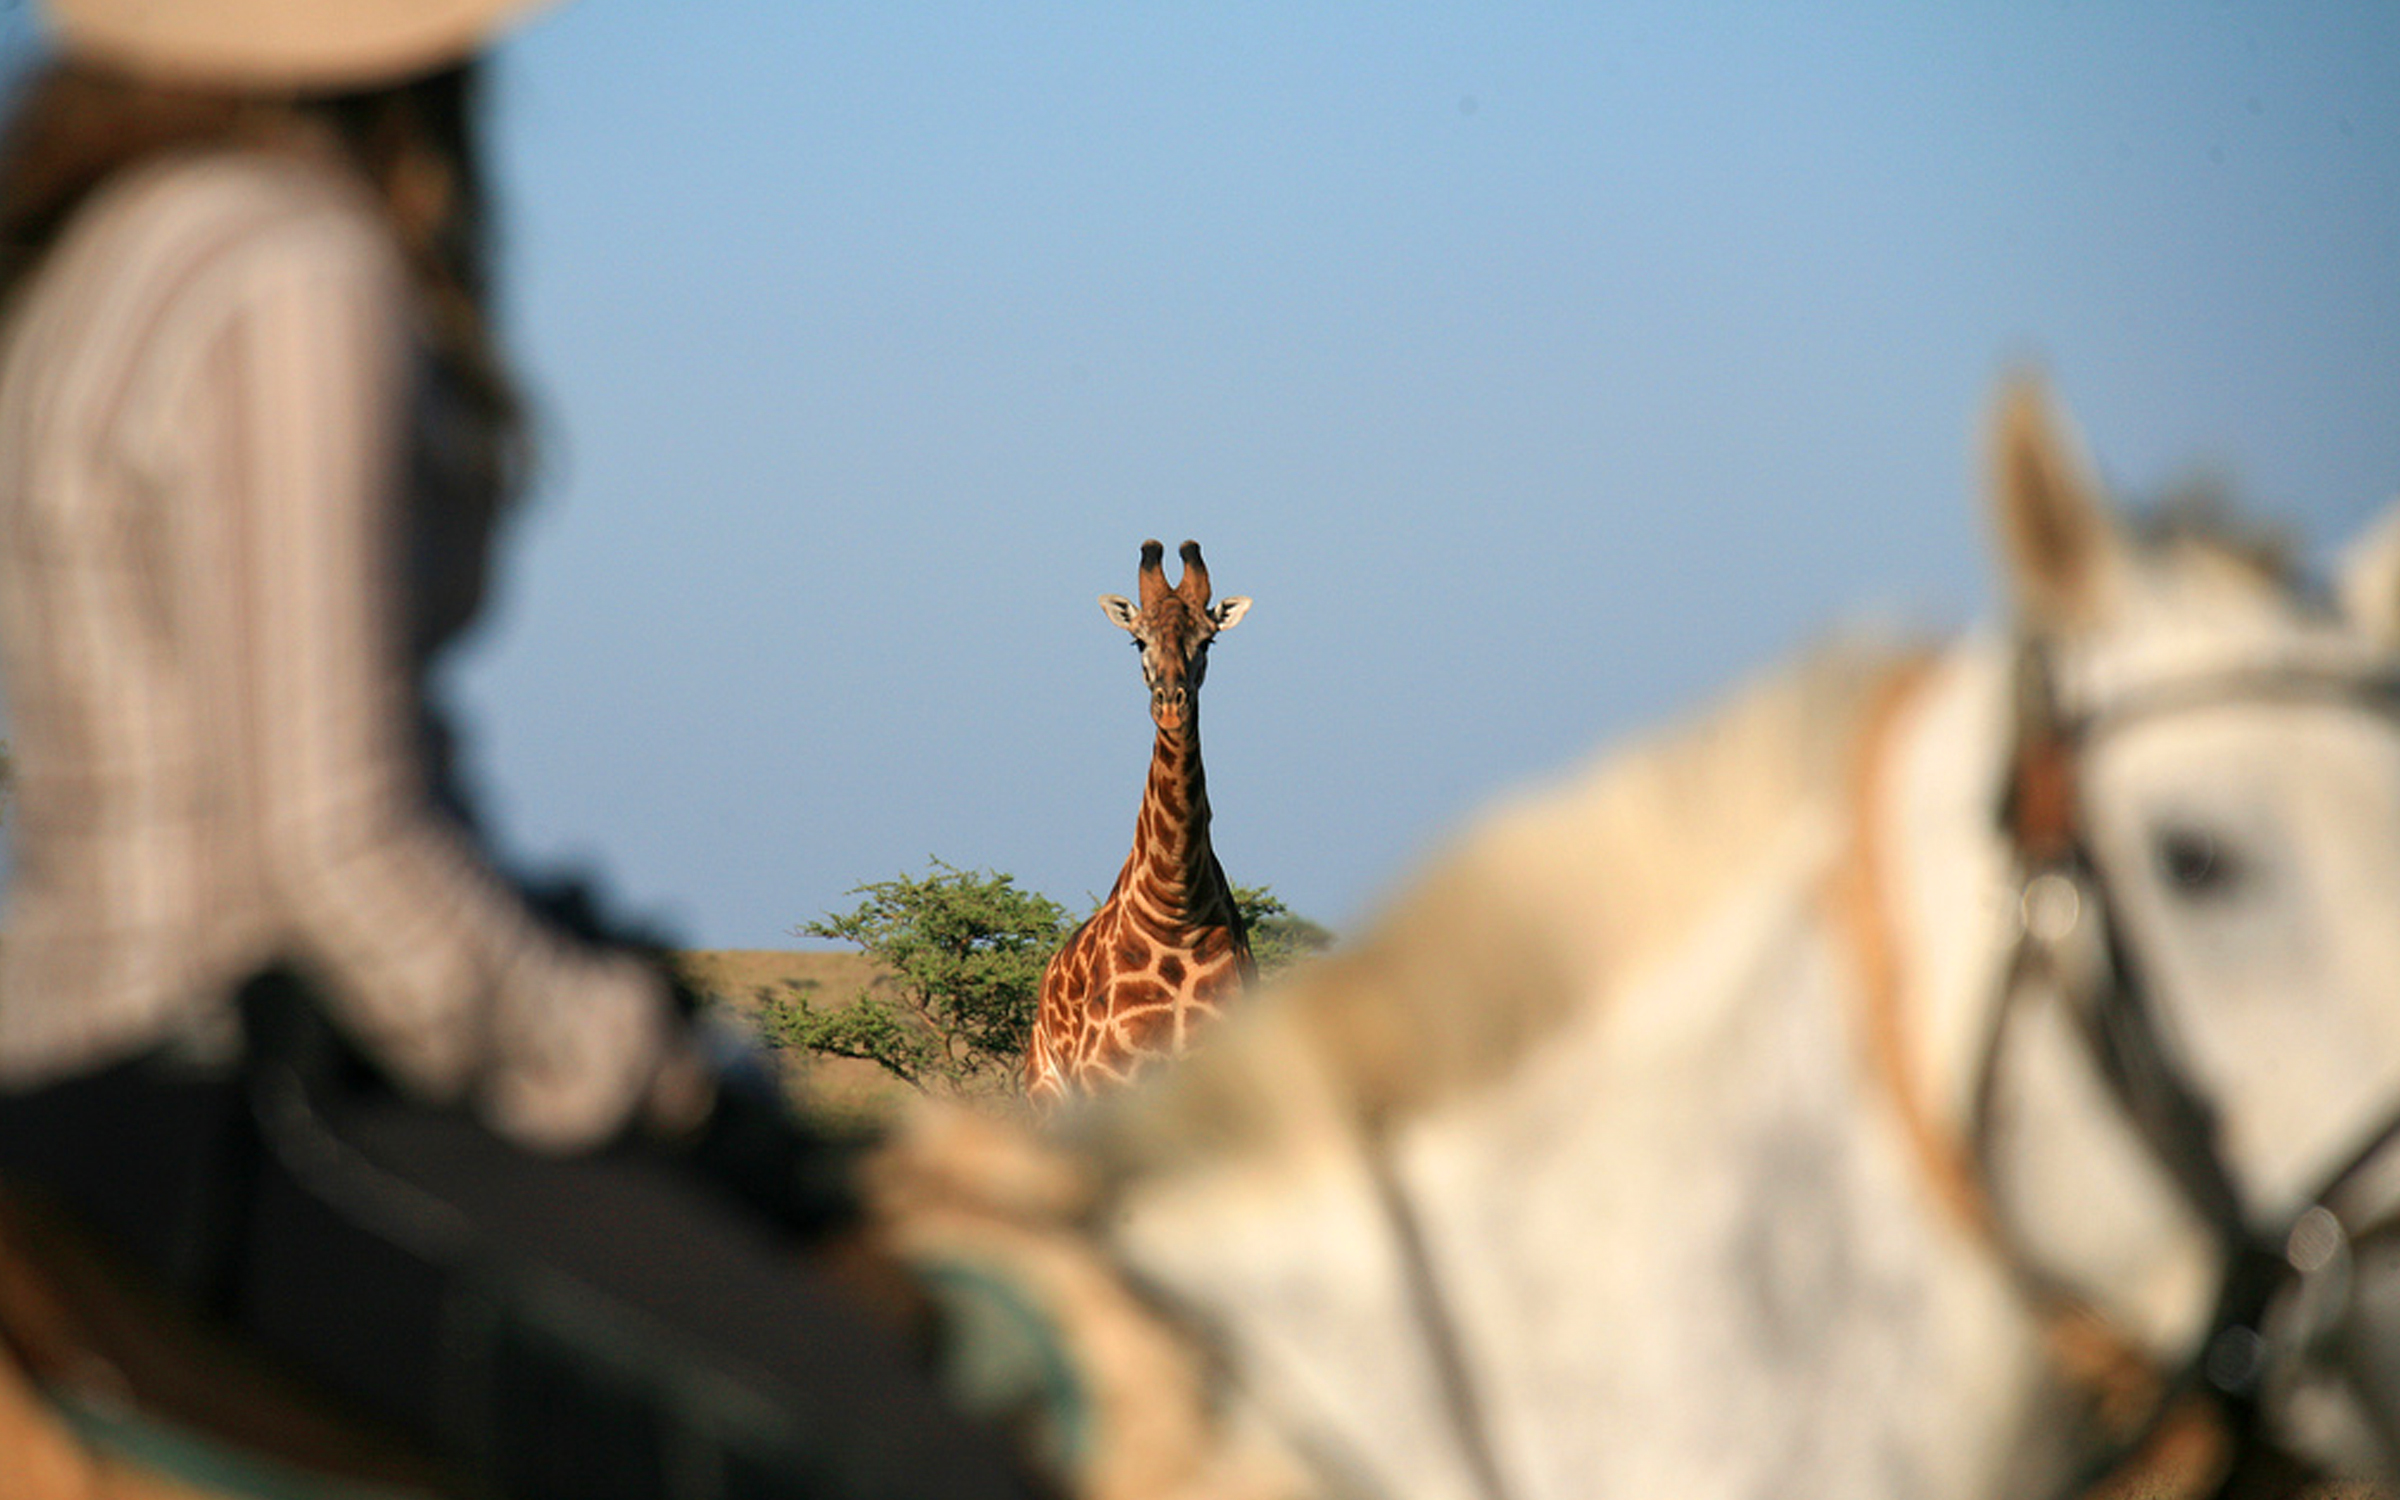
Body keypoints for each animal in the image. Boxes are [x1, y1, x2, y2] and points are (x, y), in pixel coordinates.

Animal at [1022, 537, 1257, 1113]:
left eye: (1208, 641)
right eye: (1137, 641)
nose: (1171, 706)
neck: (1177, 909)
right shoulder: (1105, 1083)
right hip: (1045, 1095)